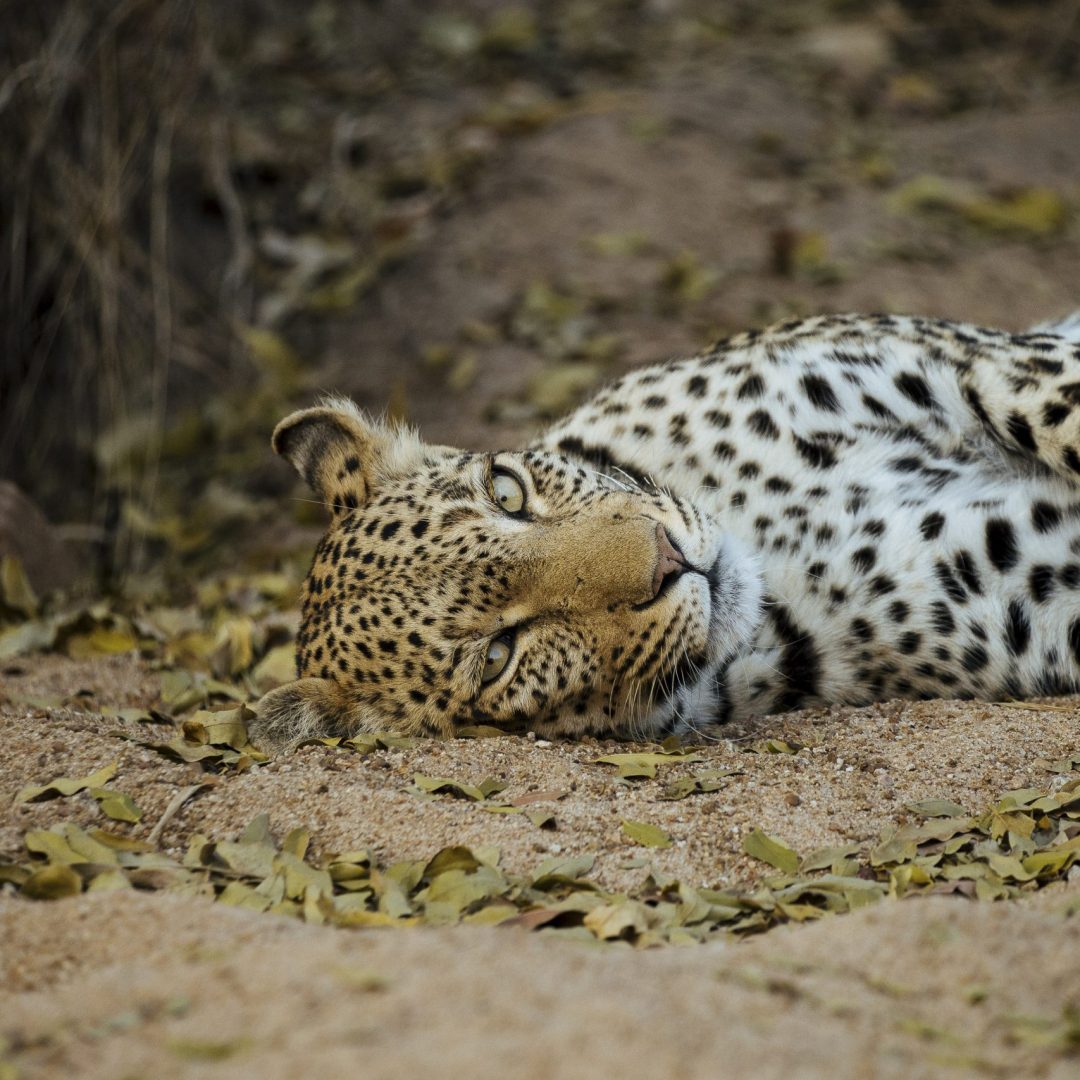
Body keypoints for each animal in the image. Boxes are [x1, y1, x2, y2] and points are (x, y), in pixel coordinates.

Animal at [252, 311, 1080, 751]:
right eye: (498, 656)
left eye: (507, 491)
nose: (667, 561)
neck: (772, 527)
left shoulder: (967, 362)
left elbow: (1055, 405)